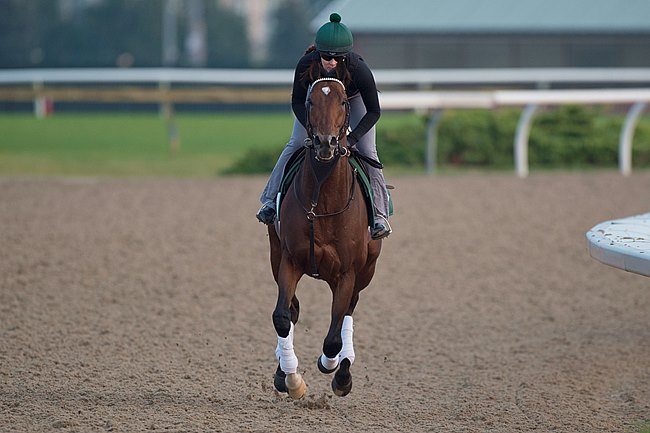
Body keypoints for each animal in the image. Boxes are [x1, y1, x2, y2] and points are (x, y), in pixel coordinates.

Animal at [268, 77, 382, 398]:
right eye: (310, 101)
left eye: (343, 101)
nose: (325, 142)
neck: (322, 202)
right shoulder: (290, 260)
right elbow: (282, 316)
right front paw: (292, 380)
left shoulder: (347, 272)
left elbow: (333, 337)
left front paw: (332, 367)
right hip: (275, 254)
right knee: (292, 311)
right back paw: (284, 371)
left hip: (367, 269)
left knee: (348, 312)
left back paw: (343, 369)